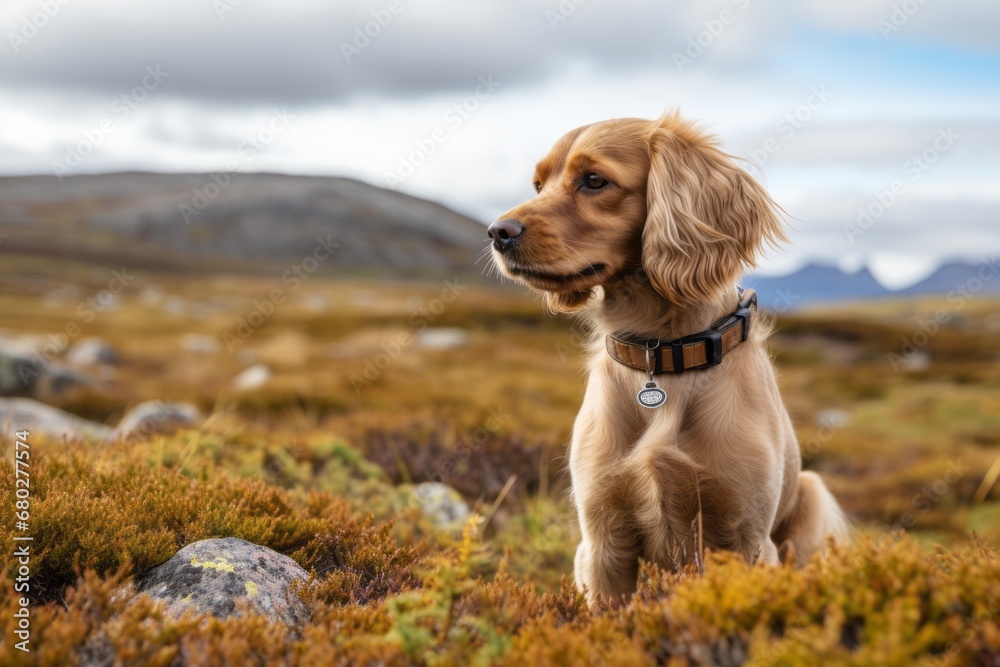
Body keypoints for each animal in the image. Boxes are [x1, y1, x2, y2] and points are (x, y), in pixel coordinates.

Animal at [488, 112, 848, 608]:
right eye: (538, 185)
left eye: (594, 180)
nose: (497, 232)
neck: (664, 354)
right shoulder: (603, 545)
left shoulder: (746, 541)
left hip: (812, 495)